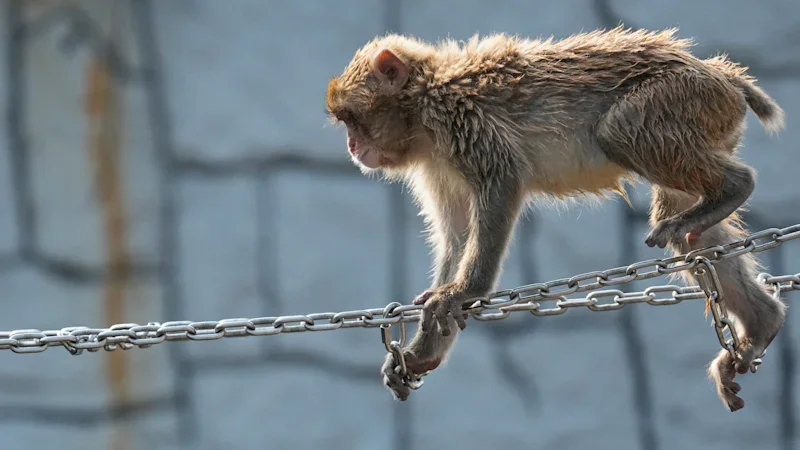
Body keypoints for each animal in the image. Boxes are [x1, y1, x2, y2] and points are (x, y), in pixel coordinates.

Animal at [324, 26, 786, 412]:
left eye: (352, 120)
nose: (351, 146)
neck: (423, 105)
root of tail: (720, 74)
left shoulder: (461, 119)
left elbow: (501, 183)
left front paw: (463, 292)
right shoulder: (437, 164)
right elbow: (456, 236)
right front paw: (424, 350)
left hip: (679, 98)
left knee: (619, 131)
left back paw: (734, 187)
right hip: (703, 119)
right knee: (693, 238)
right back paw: (760, 322)